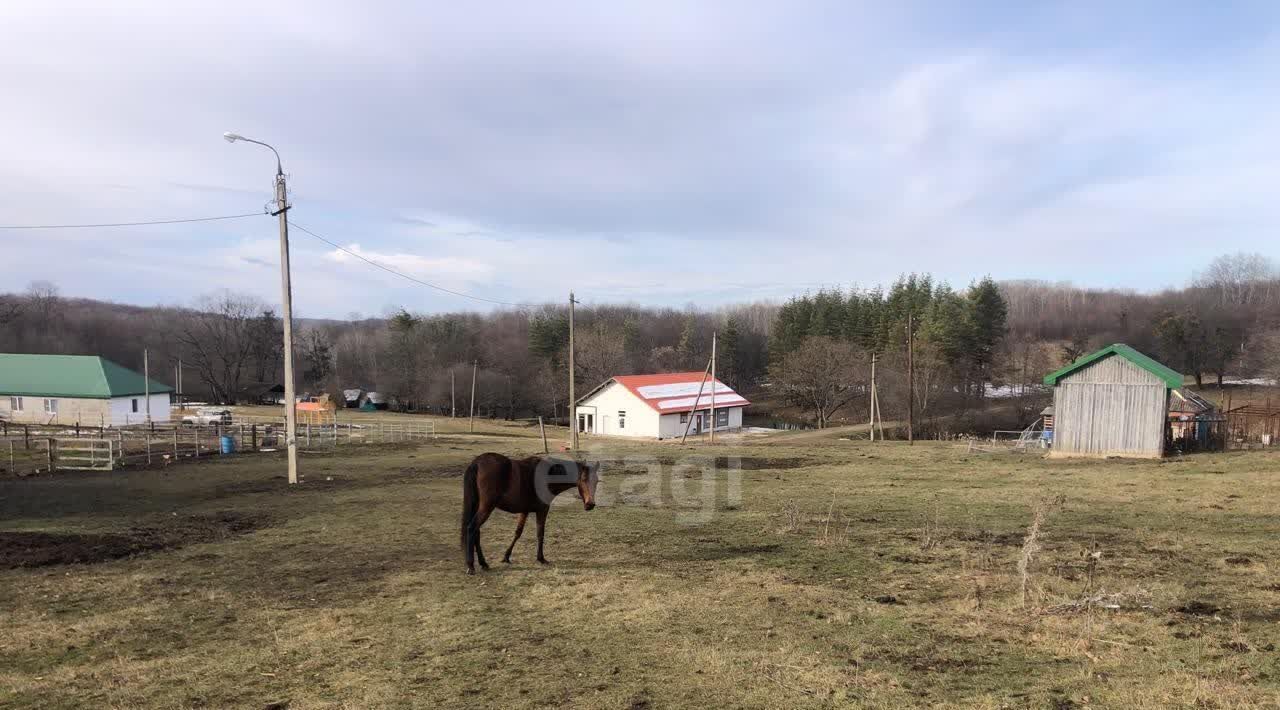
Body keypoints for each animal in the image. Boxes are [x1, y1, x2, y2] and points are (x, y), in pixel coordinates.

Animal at [460, 452, 599, 575]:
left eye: (597, 481)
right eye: (583, 479)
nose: (590, 504)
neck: (548, 475)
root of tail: (477, 462)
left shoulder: (524, 511)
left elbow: (518, 532)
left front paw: (506, 556)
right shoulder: (542, 510)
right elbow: (540, 533)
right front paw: (541, 558)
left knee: (476, 532)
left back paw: (483, 563)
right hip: (486, 507)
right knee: (472, 528)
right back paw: (471, 565)